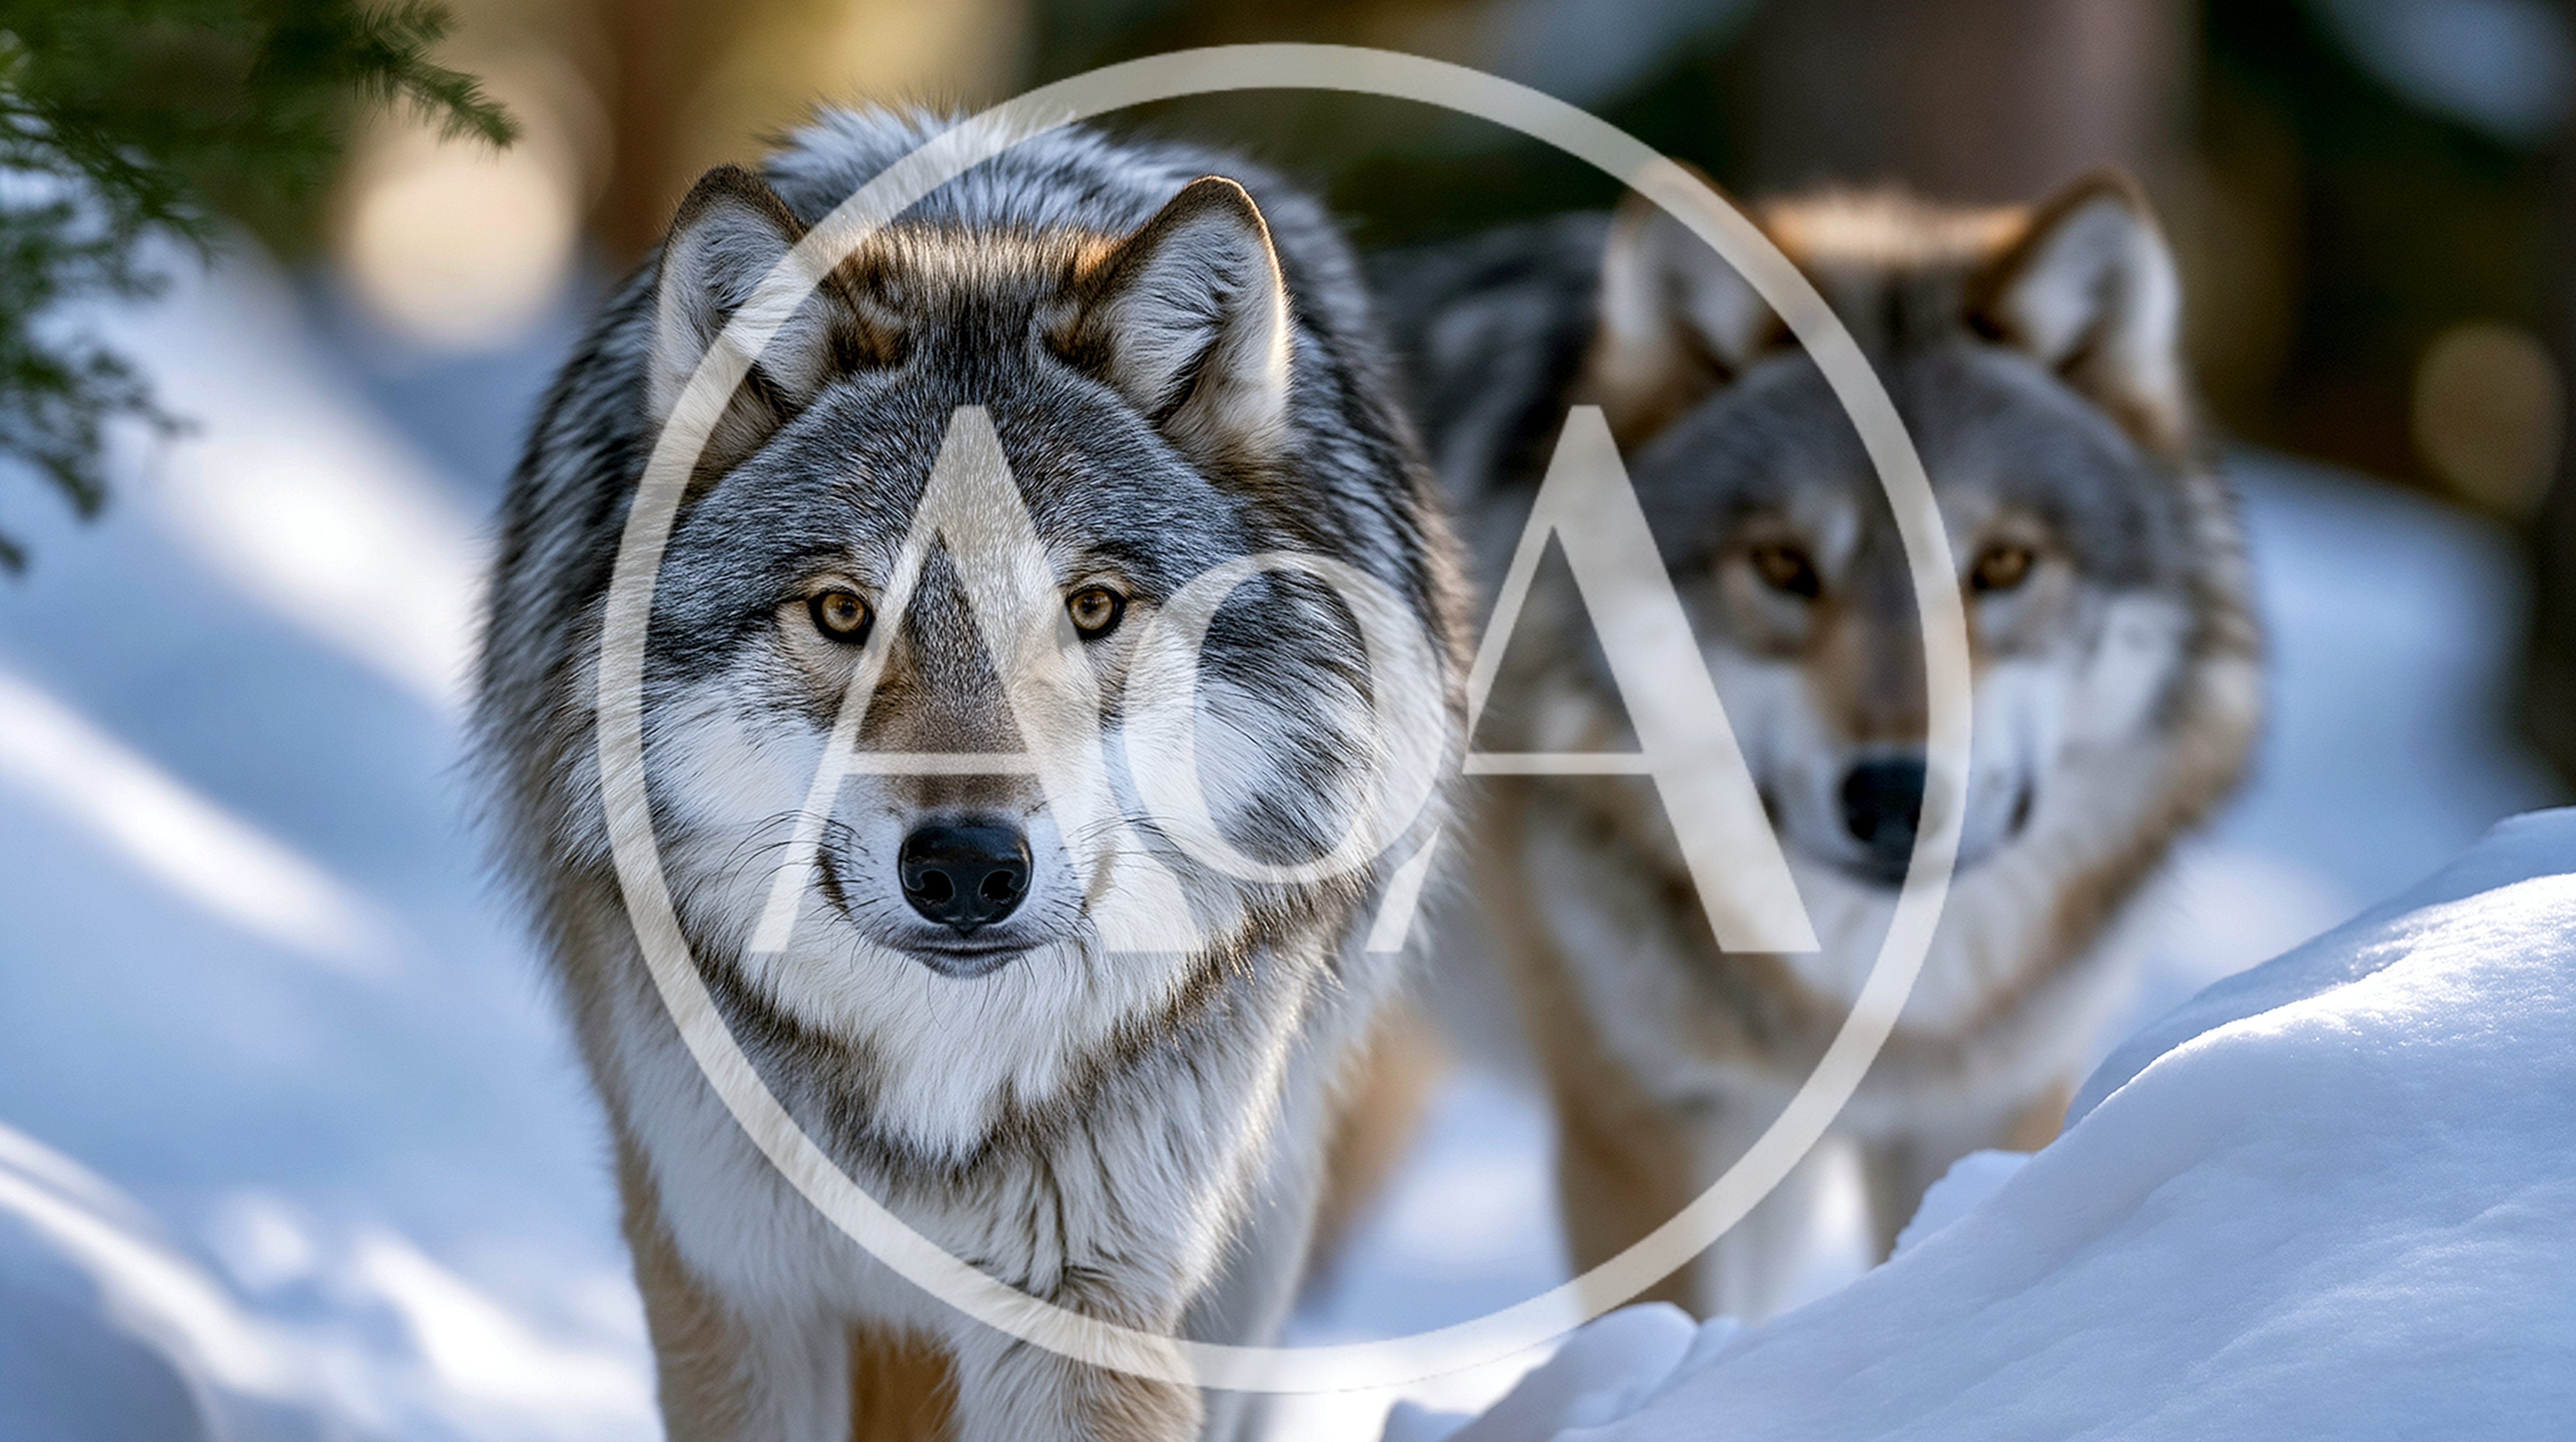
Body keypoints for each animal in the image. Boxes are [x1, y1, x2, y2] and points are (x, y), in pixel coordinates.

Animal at [475, 110, 1463, 1441]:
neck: (938, 1083)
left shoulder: (1091, 1309)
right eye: (845, 612)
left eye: (1091, 609)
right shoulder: (736, 1280)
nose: (966, 868)